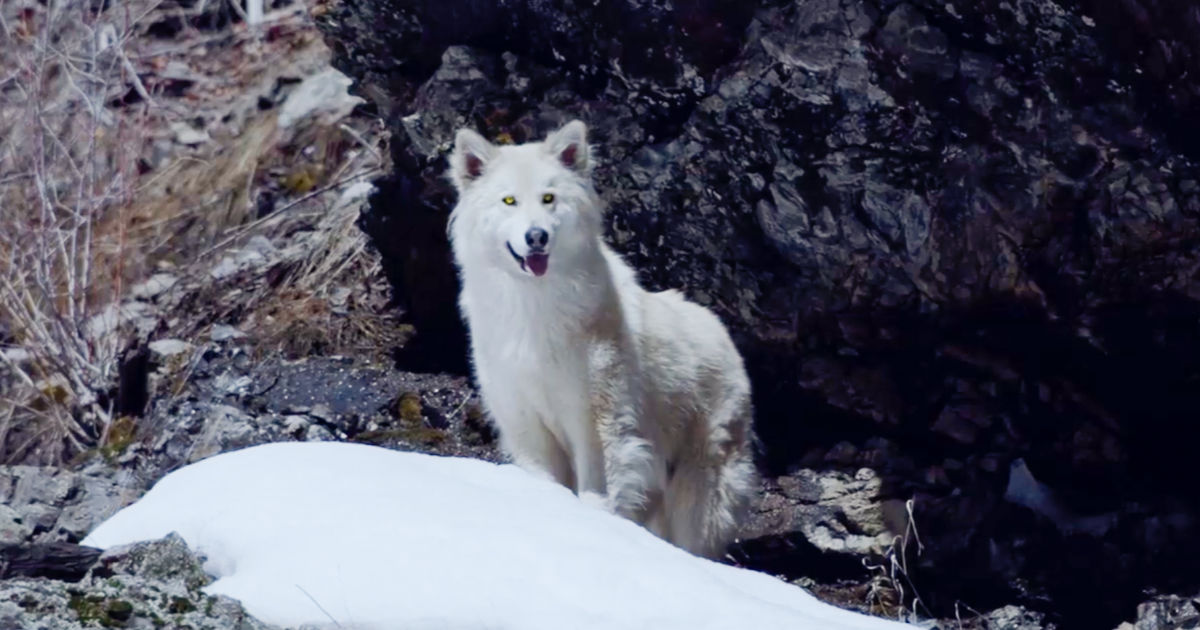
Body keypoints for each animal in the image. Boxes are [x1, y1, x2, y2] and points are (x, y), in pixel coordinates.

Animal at [446, 119, 753, 554]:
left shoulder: (595, 417)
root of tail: (724, 334)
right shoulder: (524, 420)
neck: (535, 308)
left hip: (698, 481)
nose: (536, 236)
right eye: (509, 201)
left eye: (549, 198)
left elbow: (598, 485)